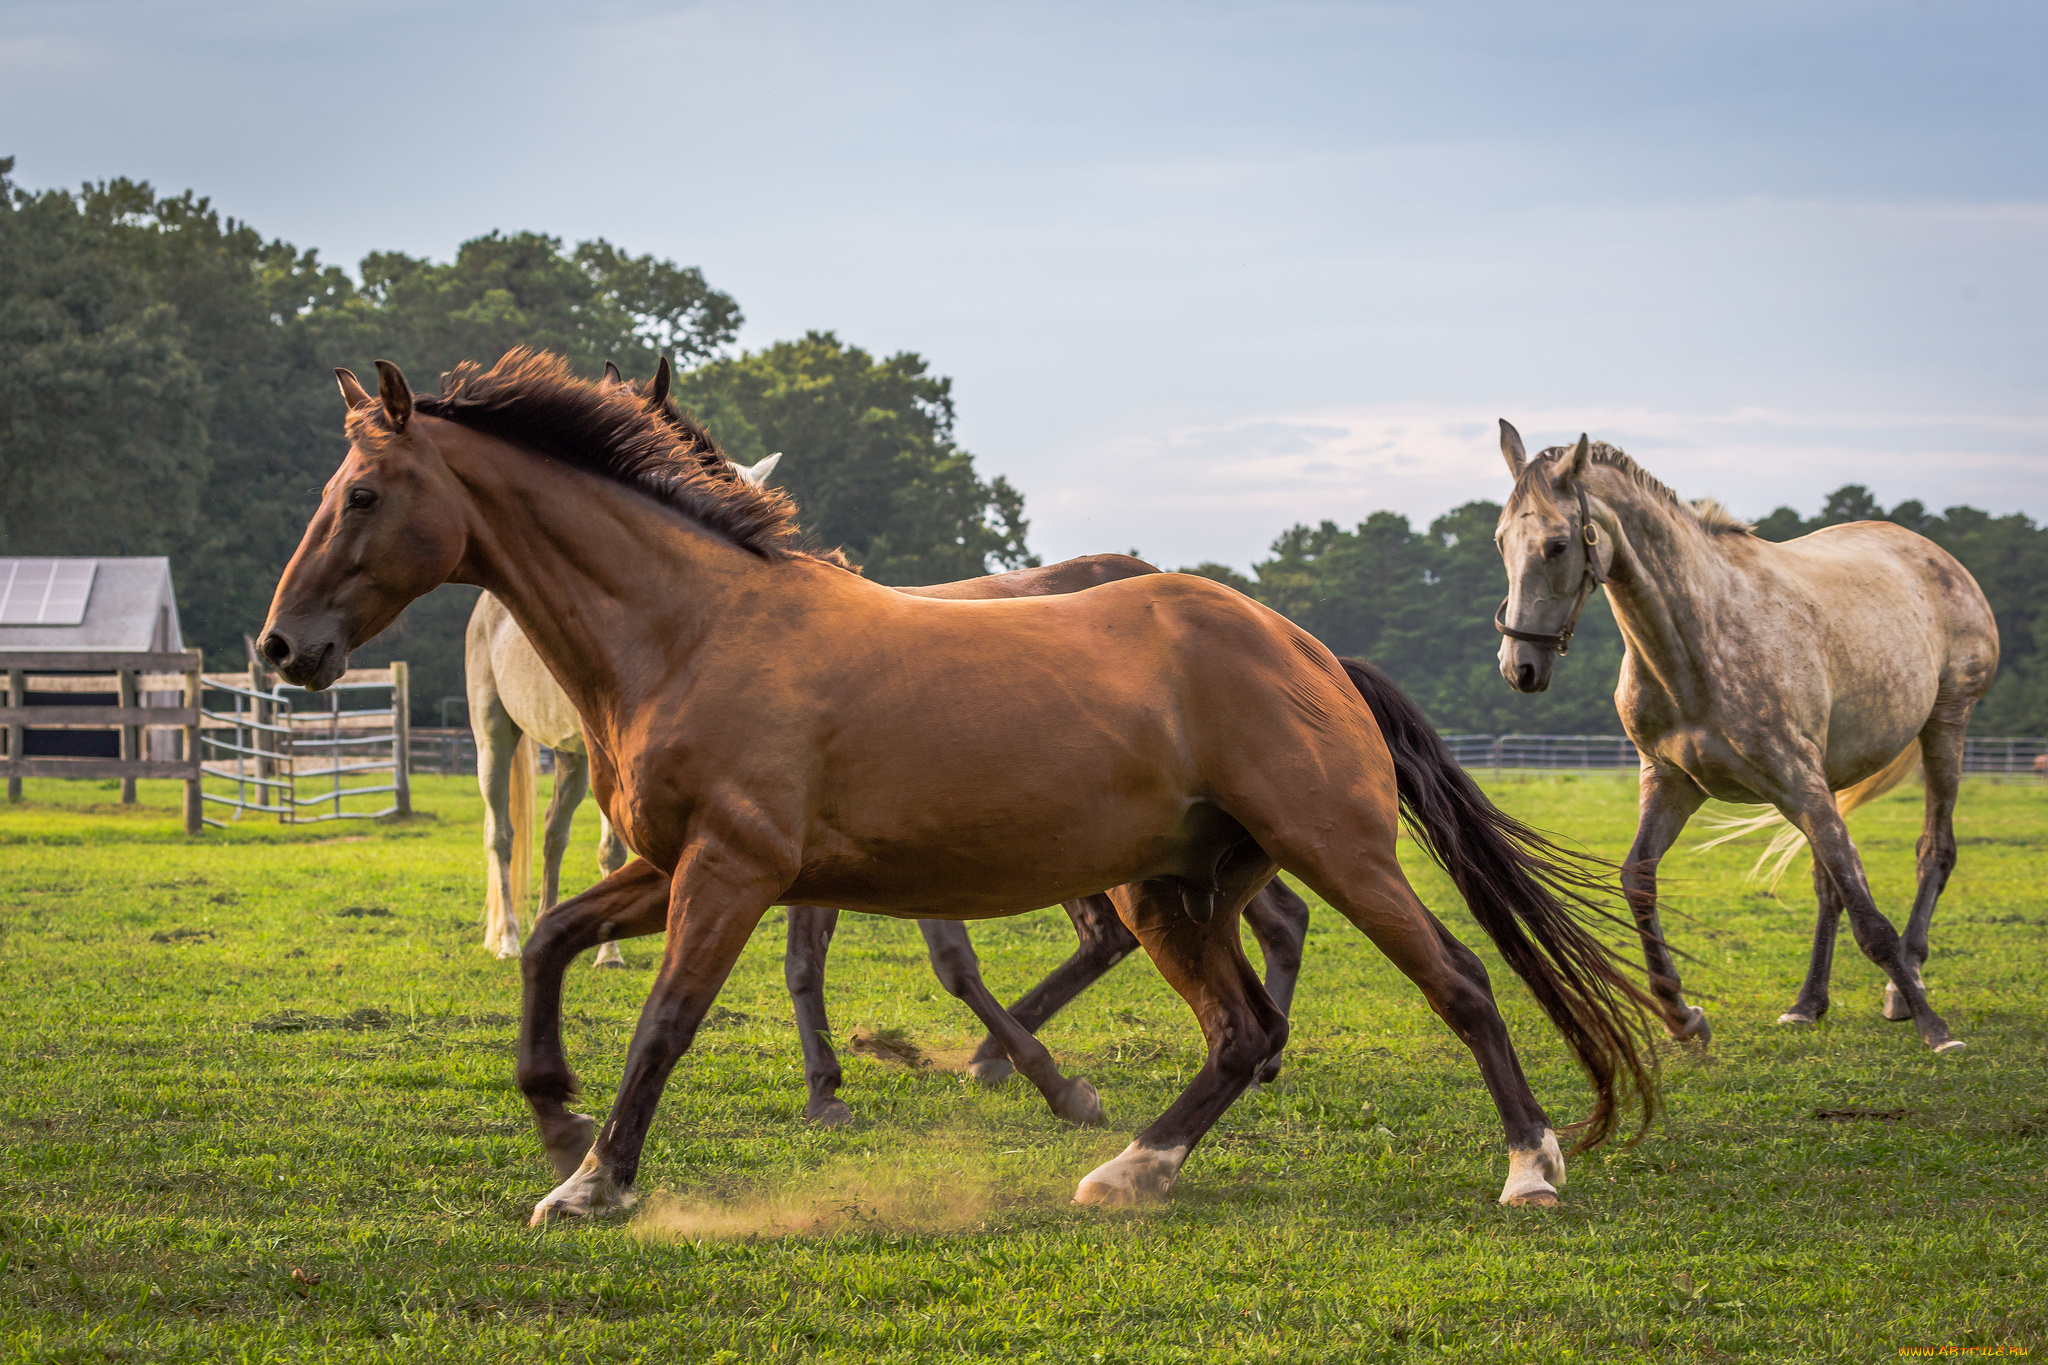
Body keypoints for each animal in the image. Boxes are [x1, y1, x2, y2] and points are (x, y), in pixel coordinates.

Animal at [471, 448, 782, 961]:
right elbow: (613, 852)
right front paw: (609, 955)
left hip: (571, 758)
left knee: (553, 834)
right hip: (494, 738)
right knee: (501, 838)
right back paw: (510, 940)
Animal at [1490, 421, 1998, 1055]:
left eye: (1557, 544)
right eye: (1501, 541)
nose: (1519, 666)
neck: (1697, 647)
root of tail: (1937, 557)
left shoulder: (1799, 784)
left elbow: (1870, 918)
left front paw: (1937, 1030)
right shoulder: (1672, 782)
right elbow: (1638, 881)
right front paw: (1681, 1015)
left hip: (1944, 727)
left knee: (1934, 851)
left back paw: (1904, 991)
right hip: (1830, 779)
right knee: (1830, 885)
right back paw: (1807, 1004)